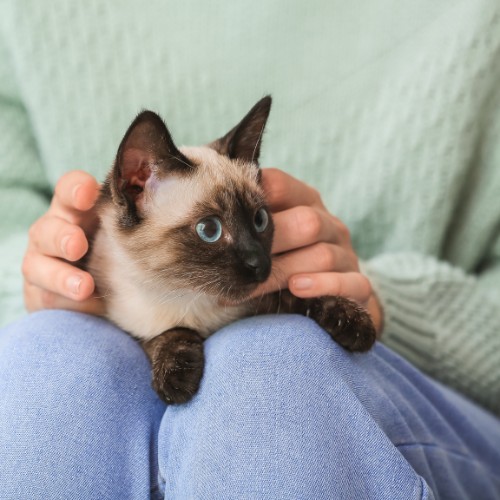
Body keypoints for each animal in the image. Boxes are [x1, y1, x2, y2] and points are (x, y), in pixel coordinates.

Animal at [89, 95, 376, 404]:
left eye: (260, 220)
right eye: (209, 230)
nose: (260, 264)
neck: (190, 296)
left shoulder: (263, 300)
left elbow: (300, 294)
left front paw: (355, 324)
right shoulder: (132, 326)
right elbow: (169, 333)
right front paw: (177, 381)